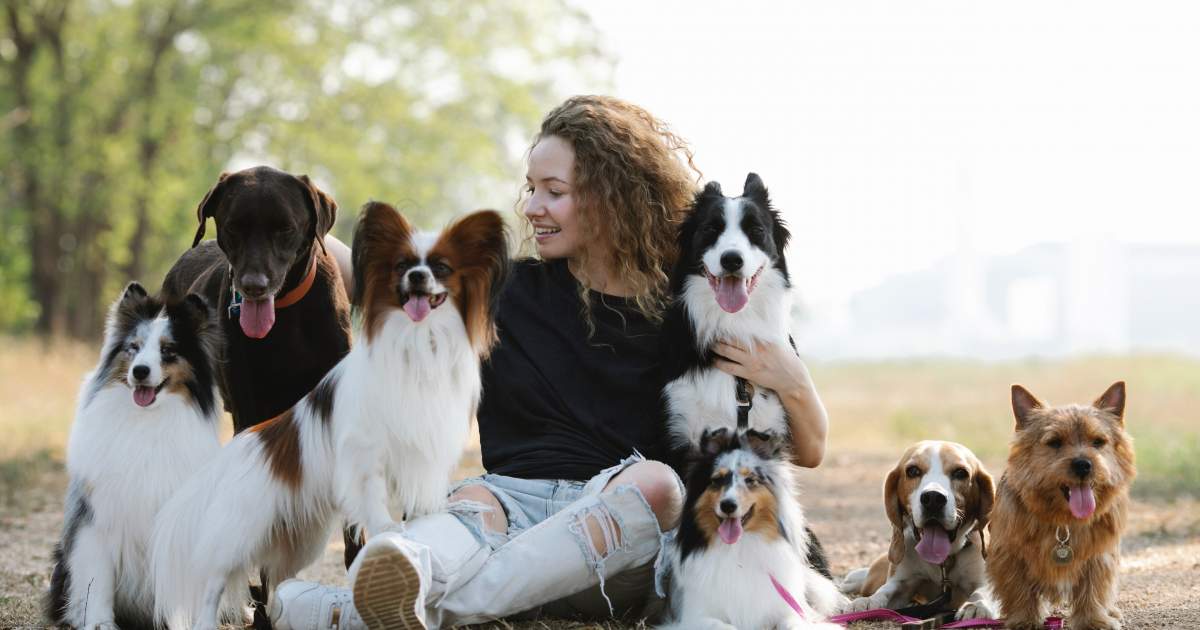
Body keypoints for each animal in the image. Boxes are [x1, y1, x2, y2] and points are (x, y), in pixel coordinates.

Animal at [45, 283, 223, 628]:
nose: (140, 372)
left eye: (168, 351)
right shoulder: (96, 518)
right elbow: (96, 578)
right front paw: (98, 622)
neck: (146, 420)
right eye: (134, 347)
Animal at [148, 204, 506, 624]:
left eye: (443, 267)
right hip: (239, 535)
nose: (417, 277)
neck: (418, 343)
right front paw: (390, 535)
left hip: (299, 541)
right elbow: (375, 504)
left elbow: (423, 505)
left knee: (277, 581)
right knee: (214, 583)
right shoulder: (365, 450)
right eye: (402, 266)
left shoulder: (425, 449)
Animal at [662, 427, 849, 628]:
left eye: (750, 480)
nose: (727, 505)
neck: (739, 548)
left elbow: (794, 622)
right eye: (717, 480)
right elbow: (723, 626)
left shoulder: (788, 609)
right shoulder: (695, 616)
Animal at [984, 384, 1132, 628]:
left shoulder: (1099, 557)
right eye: (1054, 442)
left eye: (1098, 442)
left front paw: (1093, 620)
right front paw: (1024, 619)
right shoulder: (1009, 555)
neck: (1063, 521)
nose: (1083, 464)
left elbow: (1093, 589)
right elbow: (1019, 588)